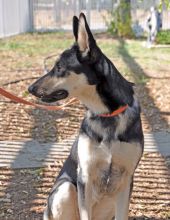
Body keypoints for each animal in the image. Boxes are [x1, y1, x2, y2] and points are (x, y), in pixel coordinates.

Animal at [28, 13, 143, 220]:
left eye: (59, 67)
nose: (30, 88)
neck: (107, 115)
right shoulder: (85, 177)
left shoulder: (126, 180)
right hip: (65, 189)